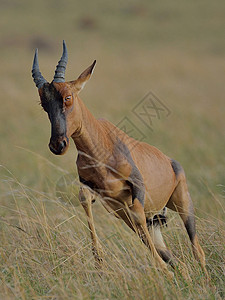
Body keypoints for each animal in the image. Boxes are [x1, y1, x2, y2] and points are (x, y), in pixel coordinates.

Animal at [31, 39, 207, 278]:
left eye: (68, 97)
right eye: (43, 104)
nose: (58, 144)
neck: (102, 145)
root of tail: (171, 162)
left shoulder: (137, 187)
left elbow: (138, 213)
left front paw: (159, 268)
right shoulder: (96, 191)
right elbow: (84, 200)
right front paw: (99, 259)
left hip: (182, 201)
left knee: (197, 250)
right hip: (146, 219)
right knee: (173, 257)